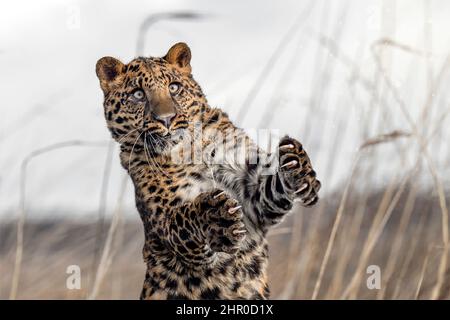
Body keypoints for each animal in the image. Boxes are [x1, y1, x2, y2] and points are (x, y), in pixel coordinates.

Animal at [96, 43, 320, 300]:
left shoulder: (252, 200)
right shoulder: (167, 222)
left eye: (174, 87)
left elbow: (270, 191)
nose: (166, 119)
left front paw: (296, 166)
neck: (189, 150)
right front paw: (216, 214)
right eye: (138, 94)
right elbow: (182, 219)